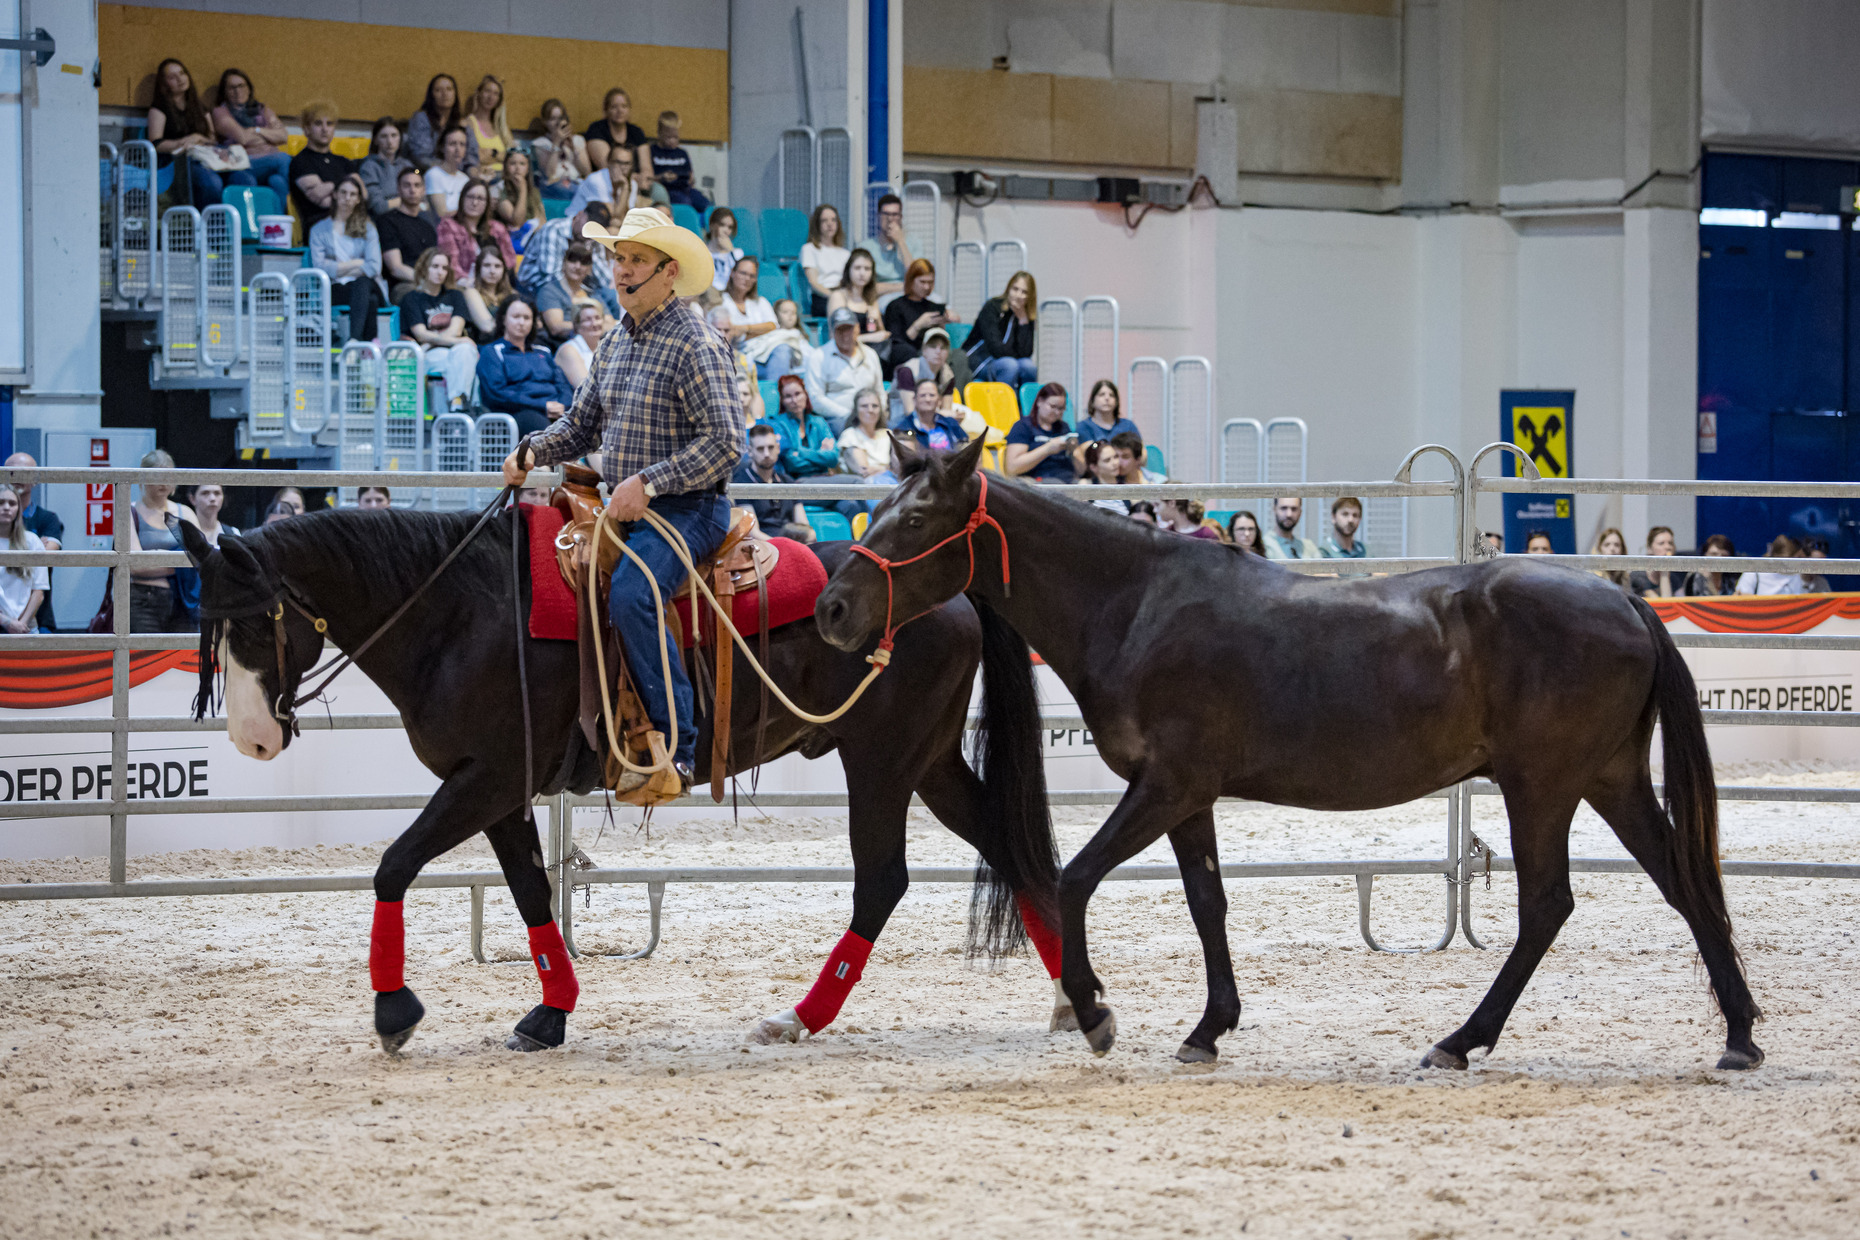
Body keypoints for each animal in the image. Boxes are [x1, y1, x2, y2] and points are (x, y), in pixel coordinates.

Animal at [177, 503, 1065, 1055]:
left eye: (258, 623)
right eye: (209, 627)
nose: (252, 739)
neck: (461, 612)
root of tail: (955, 590)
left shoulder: (485, 779)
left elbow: (394, 865)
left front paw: (394, 1011)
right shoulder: (496, 788)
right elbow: (531, 893)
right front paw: (547, 1015)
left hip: (881, 761)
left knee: (882, 879)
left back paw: (795, 1017)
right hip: (930, 762)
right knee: (1009, 848)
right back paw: (1067, 998)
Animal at [814, 435, 1764, 1072]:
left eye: (918, 518)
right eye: (880, 511)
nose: (831, 610)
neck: (1135, 603)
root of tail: (1628, 603)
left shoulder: (1166, 786)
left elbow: (1076, 879)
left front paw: (1094, 1013)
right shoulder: (1188, 798)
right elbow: (1207, 902)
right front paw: (1207, 1029)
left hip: (1543, 788)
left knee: (1548, 908)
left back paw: (1461, 1040)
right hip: (1608, 780)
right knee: (1681, 883)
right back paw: (1740, 1036)